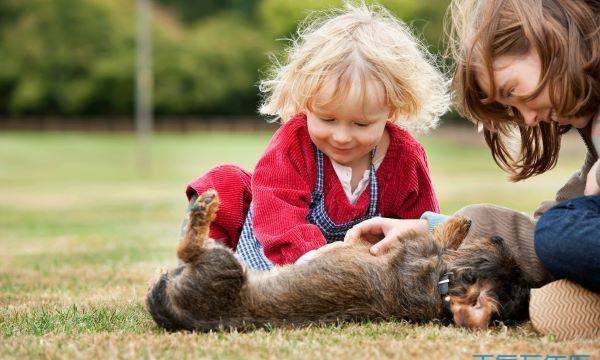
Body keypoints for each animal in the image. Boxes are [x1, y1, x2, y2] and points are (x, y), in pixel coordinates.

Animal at [148, 191, 532, 332]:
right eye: (500, 247)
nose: (499, 237)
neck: (439, 286)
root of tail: (177, 312)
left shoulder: (414, 245)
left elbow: (443, 234)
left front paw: (457, 224)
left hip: (221, 265)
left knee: (188, 247)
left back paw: (202, 208)